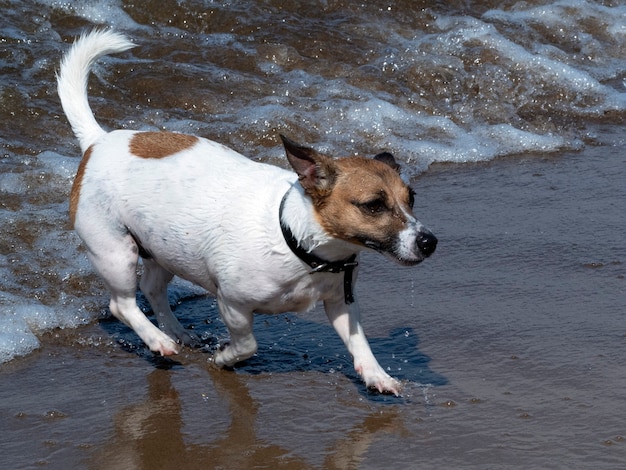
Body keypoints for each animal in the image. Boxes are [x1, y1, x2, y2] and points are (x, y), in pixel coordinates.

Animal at [58, 29, 436, 394]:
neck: (297, 241)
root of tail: (98, 142)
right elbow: (247, 344)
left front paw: (376, 375)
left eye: (411, 198)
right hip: (114, 251)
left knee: (153, 289)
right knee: (122, 304)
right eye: (374, 205)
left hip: (164, 249)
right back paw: (158, 340)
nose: (429, 242)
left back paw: (175, 332)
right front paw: (225, 357)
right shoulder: (233, 304)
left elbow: (360, 344)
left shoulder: (341, 303)